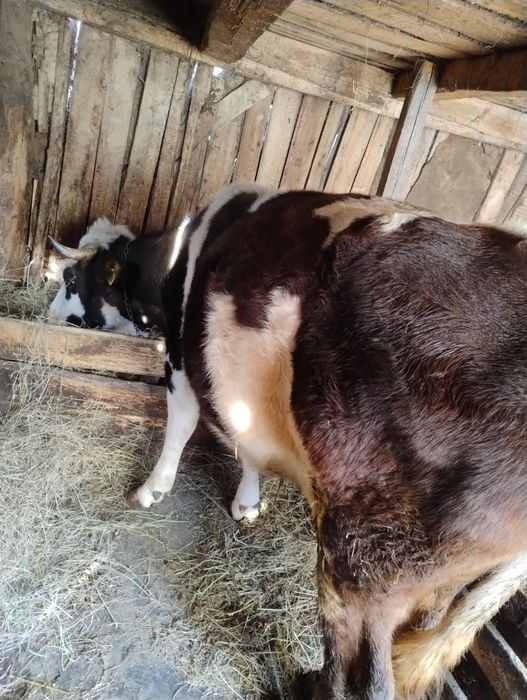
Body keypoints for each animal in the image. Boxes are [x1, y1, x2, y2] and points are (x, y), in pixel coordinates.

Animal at [48, 183, 527, 699]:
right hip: (436, 584)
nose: (52, 315)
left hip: (365, 559)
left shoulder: (180, 356)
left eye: (72, 279)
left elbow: (183, 424)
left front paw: (152, 489)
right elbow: (246, 445)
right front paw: (247, 503)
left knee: (362, 675)